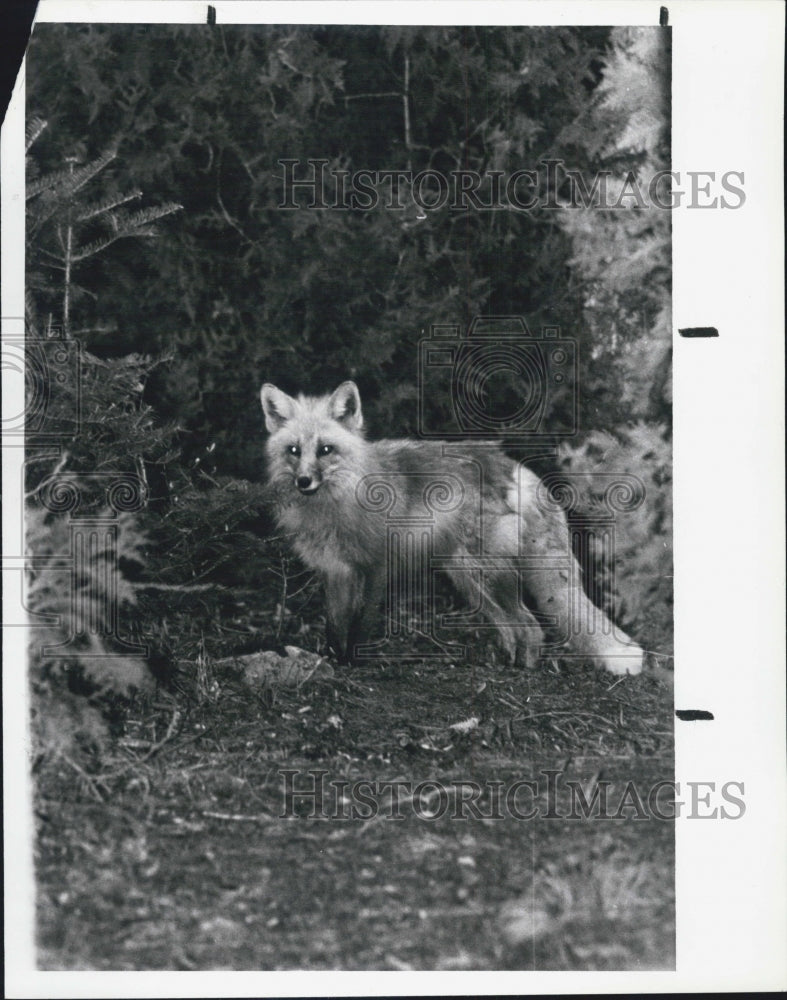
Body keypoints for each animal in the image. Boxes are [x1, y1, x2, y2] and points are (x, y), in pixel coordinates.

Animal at [262, 378, 644, 676]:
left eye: (326, 450)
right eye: (293, 450)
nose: (304, 481)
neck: (336, 502)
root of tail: (514, 467)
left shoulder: (377, 566)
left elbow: (360, 625)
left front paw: (353, 665)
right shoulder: (335, 571)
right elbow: (335, 625)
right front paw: (334, 661)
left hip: (486, 574)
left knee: (531, 628)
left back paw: (523, 673)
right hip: (469, 580)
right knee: (514, 630)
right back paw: (505, 666)